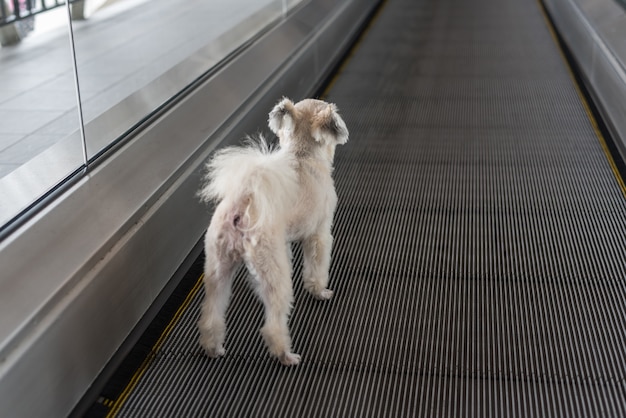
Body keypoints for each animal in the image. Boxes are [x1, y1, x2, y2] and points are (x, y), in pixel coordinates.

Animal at [197, 96, 348, 364]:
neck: (301, 154)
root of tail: (243, 206)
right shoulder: (319, 235)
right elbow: (317, 269)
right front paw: (320, 291)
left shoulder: (284, 242)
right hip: (273, 272)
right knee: (273, 323)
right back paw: (286, 355)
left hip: (218, 267)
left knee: (211, 313)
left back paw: (213, 348)